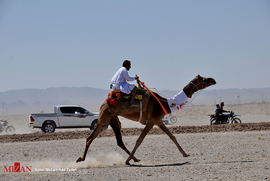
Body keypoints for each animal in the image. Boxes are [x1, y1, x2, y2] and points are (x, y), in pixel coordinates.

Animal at [76, 74, 215, 165]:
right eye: (202, 79)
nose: (213, 79)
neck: (165, 103)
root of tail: (104, 103)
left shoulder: (158, 121)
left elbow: (172, 136)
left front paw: (185, 154)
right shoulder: (151, 122)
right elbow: (139, 140)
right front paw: (126, 161)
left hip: (113, 120)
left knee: (119, 141)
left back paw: (135, 159)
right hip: (104, 120)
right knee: (90, 138)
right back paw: (81, 159)